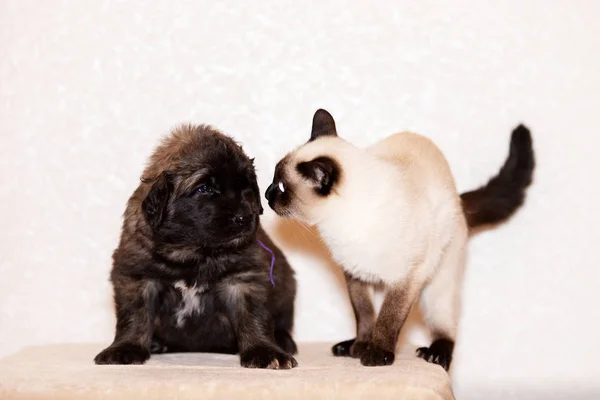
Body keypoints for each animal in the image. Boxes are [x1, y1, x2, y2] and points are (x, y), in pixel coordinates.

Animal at [94, 124, 298, 368]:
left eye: (246, 186)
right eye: (204, 188)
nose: (244, 217)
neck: (193, 253)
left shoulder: (243, 278)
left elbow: (254, 316)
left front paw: (265, 351)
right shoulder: (137, 278)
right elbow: (134, 316)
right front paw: (126, 348)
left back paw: (283, 340)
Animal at [266, 108, 536, 368]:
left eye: (281, 187)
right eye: (273, 180)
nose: (267, 194)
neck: (342, 224)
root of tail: (459, 201)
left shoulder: (405, 278)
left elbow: (388, 318)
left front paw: (377, 354)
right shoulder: (355, 274)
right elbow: (365, 315)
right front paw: (361, 346)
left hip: (437, 285)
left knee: (445, 327)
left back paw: (435, 354)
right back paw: (347, 347)